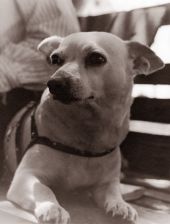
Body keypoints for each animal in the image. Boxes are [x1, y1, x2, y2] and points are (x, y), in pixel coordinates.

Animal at [6, 32, 163, 224]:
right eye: (55, 59)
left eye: (96, 58)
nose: (54, 82)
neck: (86, 128)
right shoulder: (25, 176)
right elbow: (43, 189)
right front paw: (52, 208)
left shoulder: (105, 183)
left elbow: (113, 192)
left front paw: (120, 205)